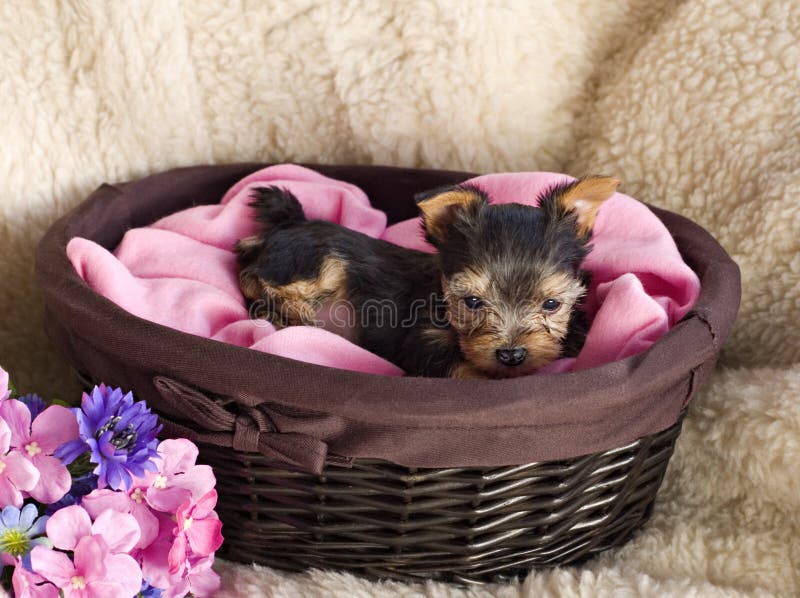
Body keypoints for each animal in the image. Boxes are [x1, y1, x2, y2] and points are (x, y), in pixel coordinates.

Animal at [234, 176, 620, 378]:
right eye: (472, 302)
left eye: (552, 304)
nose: (511, 355)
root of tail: (291, 222)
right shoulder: (424, 342)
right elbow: (461, 369)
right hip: (313, 258)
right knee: (252, 273)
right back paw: (294, 312)